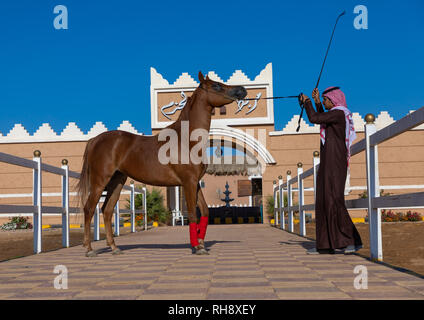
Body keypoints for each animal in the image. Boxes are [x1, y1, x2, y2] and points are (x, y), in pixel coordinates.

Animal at [78, 71, 247, 256]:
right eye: (216, 86)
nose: (242, 90)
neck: (187, 140)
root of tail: (95, 139)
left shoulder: (195, 182)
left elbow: (204, 211)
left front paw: (201, 245)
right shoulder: (188, 182)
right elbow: (192, 213)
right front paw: (196, 247)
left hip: (117, 181)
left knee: (107, 211)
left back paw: (114, 248)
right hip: (100, 181)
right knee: (89, 209)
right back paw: (89, 249)